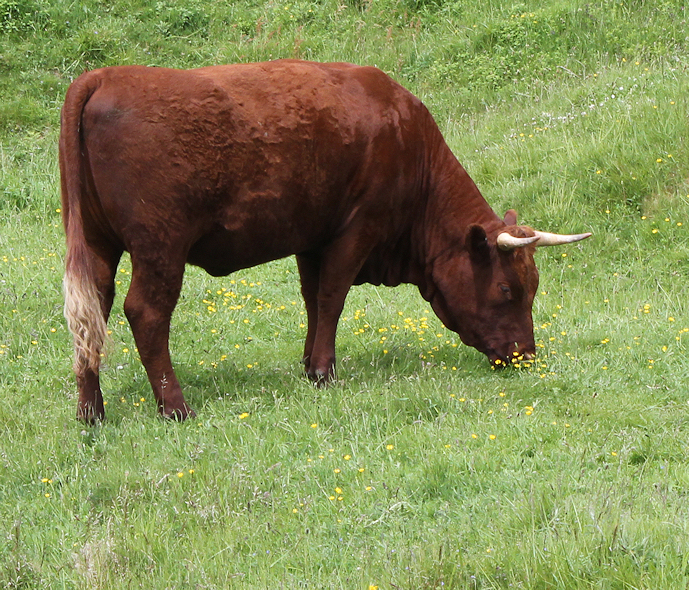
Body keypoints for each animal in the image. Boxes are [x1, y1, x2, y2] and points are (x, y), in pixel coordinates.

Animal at [60, 59, 590, 422]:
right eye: (507, 289)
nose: (526, 356)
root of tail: (106, 76)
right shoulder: (356, 229)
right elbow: (333, 296)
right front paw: (324, 372)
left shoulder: (311, 239)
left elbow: (312, 298)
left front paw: (308, 363)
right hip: (160, 247)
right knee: (145, 314)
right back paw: (175, 407)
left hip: (98, 246)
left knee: (91, 313)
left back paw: (91, 411)